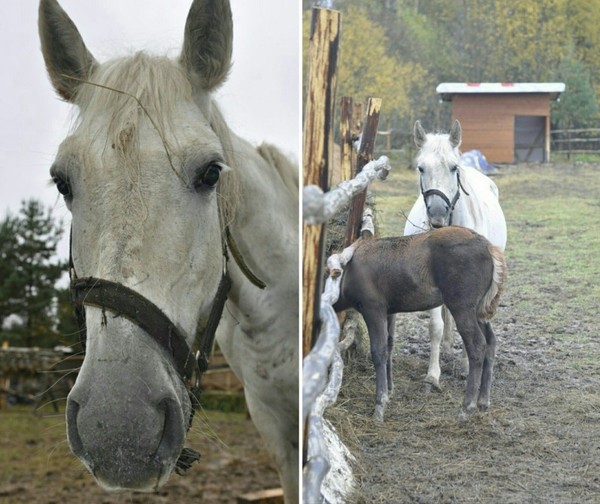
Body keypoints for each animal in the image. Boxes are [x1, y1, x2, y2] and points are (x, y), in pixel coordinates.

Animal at [404, 121, 506, 390]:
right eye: (421, 168)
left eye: (453, 167)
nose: (438, 215)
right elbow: (435, 326)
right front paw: (433, 375)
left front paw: (466, 367)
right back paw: (448, 348)